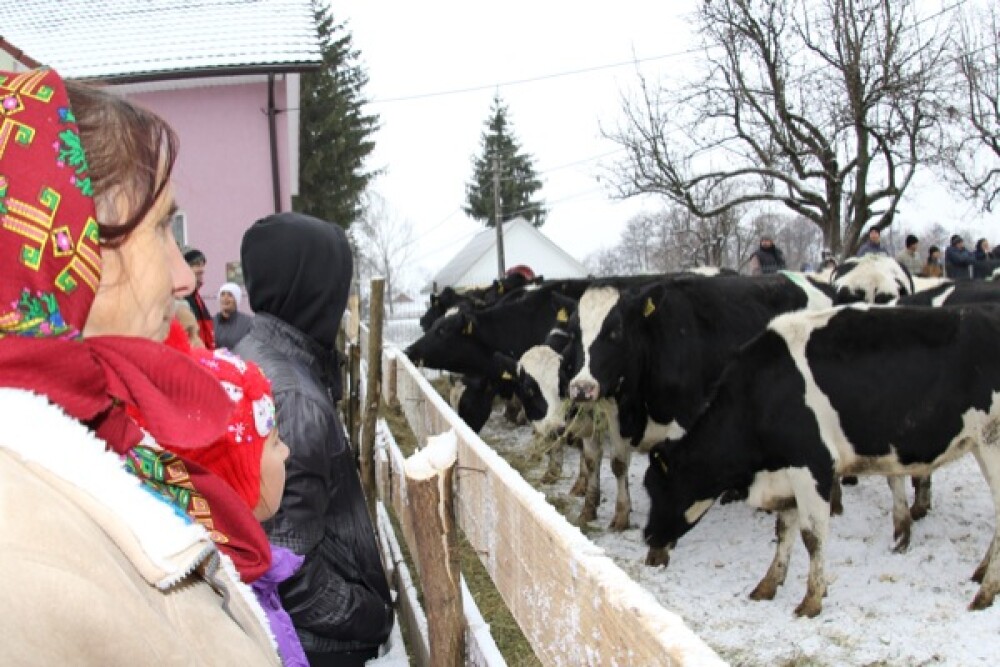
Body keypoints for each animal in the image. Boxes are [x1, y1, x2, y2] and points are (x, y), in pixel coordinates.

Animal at [640, 302, 1000, 616]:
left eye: (659, 488)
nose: (648, 536)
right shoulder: (786, 473)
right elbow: (784, 531)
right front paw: (768, 585)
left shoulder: (812, 465)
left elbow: (812, 537)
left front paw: (811, 600)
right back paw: (981, 574)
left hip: (991, 445)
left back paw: (984, 593)